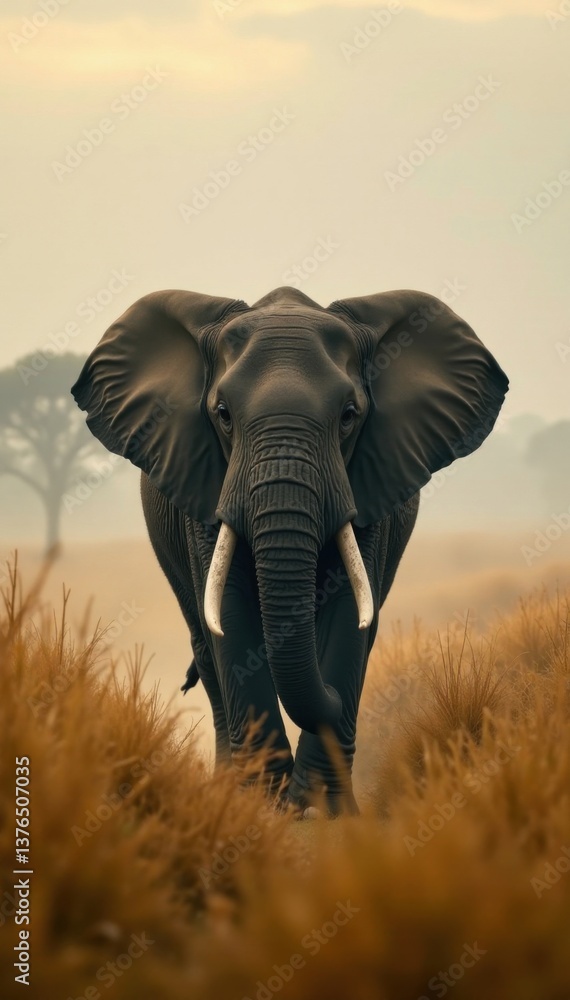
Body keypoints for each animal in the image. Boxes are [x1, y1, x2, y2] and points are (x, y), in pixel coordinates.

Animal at [71, 285, 508, 816]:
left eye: (349, 417)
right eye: (223, 415)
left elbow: (349, 614)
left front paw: (323, 814)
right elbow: (230, 616)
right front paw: (260, 809)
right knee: (205, 644)